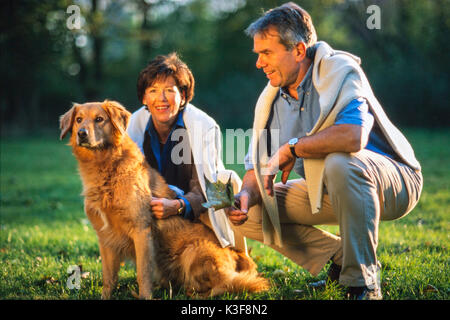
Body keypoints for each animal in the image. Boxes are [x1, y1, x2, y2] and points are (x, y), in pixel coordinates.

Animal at [60, 100, 270, 300]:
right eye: (79, 119)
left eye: (99, 119)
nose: (82, 134)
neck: (105, 168)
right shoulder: (105, 237)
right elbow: (108, 277)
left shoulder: (141, 230)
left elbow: (143, 273)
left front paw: (145, 296)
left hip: (193, 252)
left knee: (226, 285)